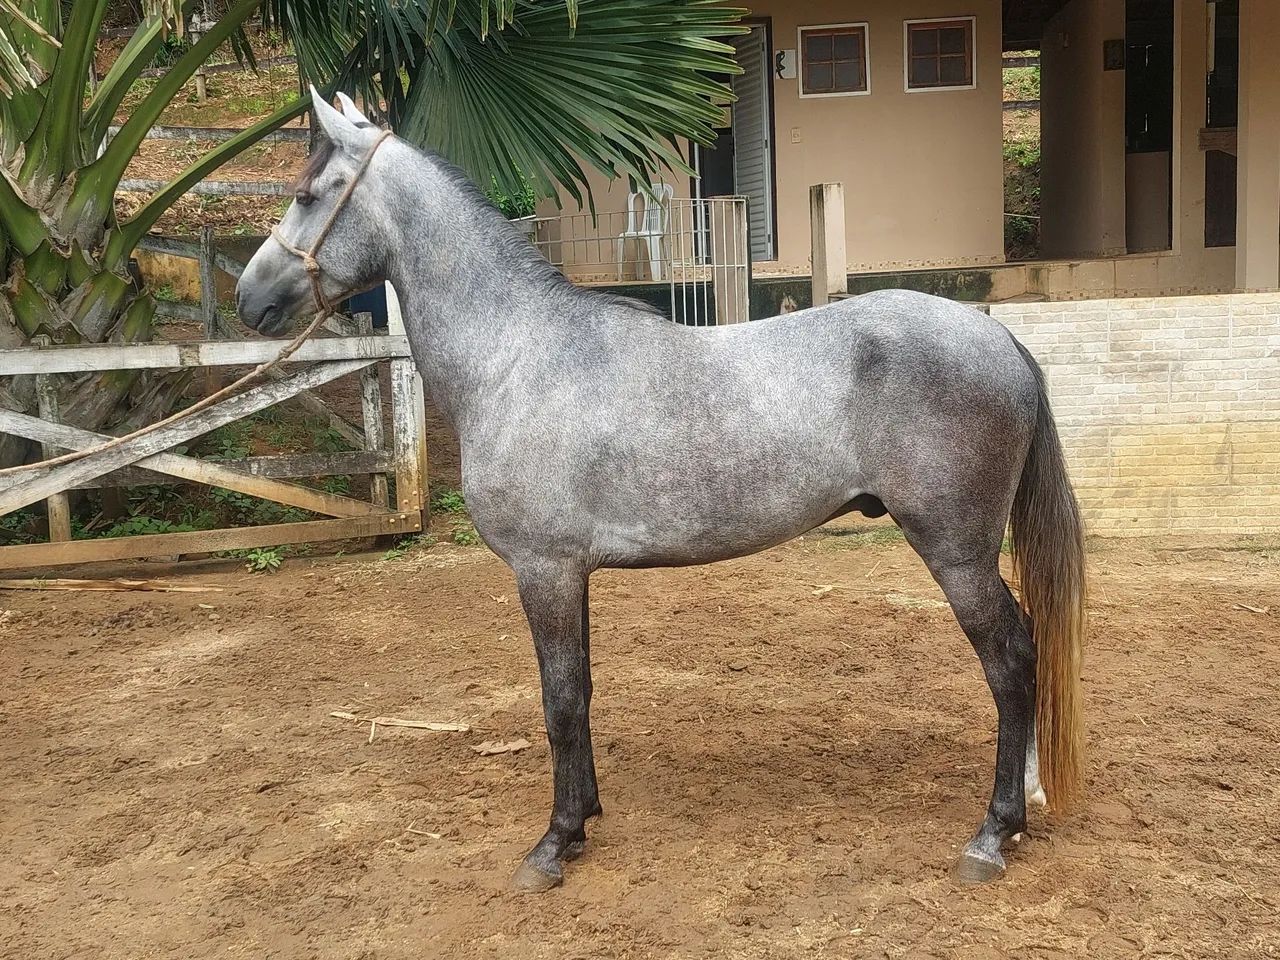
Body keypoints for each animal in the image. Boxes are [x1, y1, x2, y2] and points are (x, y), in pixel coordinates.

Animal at [236, 90, 1086, 893]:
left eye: (308, 192)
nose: (250, 301)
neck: (519, 355)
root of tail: (998, 335)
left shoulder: (544, 571)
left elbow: (560, 700)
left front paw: (553, 845)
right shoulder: (568, 575)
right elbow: (579, 692)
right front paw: (583, 819)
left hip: (957, 553)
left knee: (1012, 660)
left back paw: (993, 832)